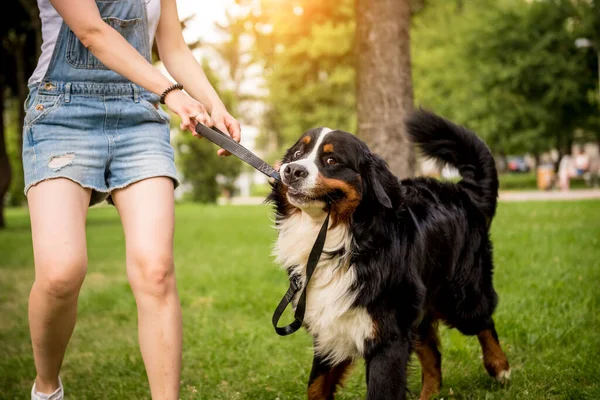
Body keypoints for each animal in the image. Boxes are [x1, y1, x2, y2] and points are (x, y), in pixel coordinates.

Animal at [268, 110, 510, 400]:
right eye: (297, 153)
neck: (339, 242)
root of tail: (461, 191)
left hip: (458, 296)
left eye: (331, 160)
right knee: (434, 356)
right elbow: (316, 388)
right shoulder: (330, 330)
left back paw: (500, 367)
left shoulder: (388, 336)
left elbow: (382, 390)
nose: (292, 170)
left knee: (483, 320)